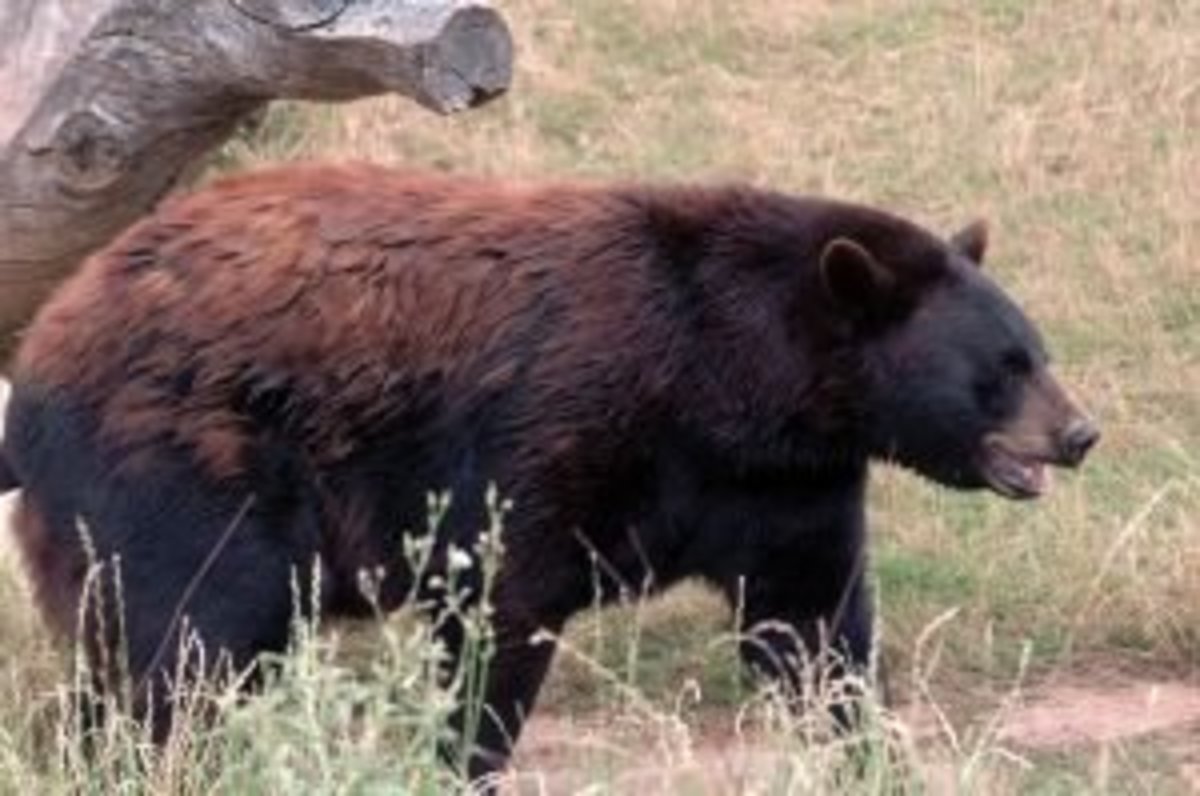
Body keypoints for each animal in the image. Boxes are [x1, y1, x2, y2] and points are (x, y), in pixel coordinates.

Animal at [0, 163, 1099, 782]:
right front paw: (460, 756)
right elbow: (500, 606)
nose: (1080, 432)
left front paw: (862, 749)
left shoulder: (785, 486)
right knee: (189, 641)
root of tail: (43, 348)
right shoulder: (553, 432)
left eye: (1033, 349)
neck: (730, 377)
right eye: (1004, 368)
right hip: (180, 467)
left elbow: (813, 622)